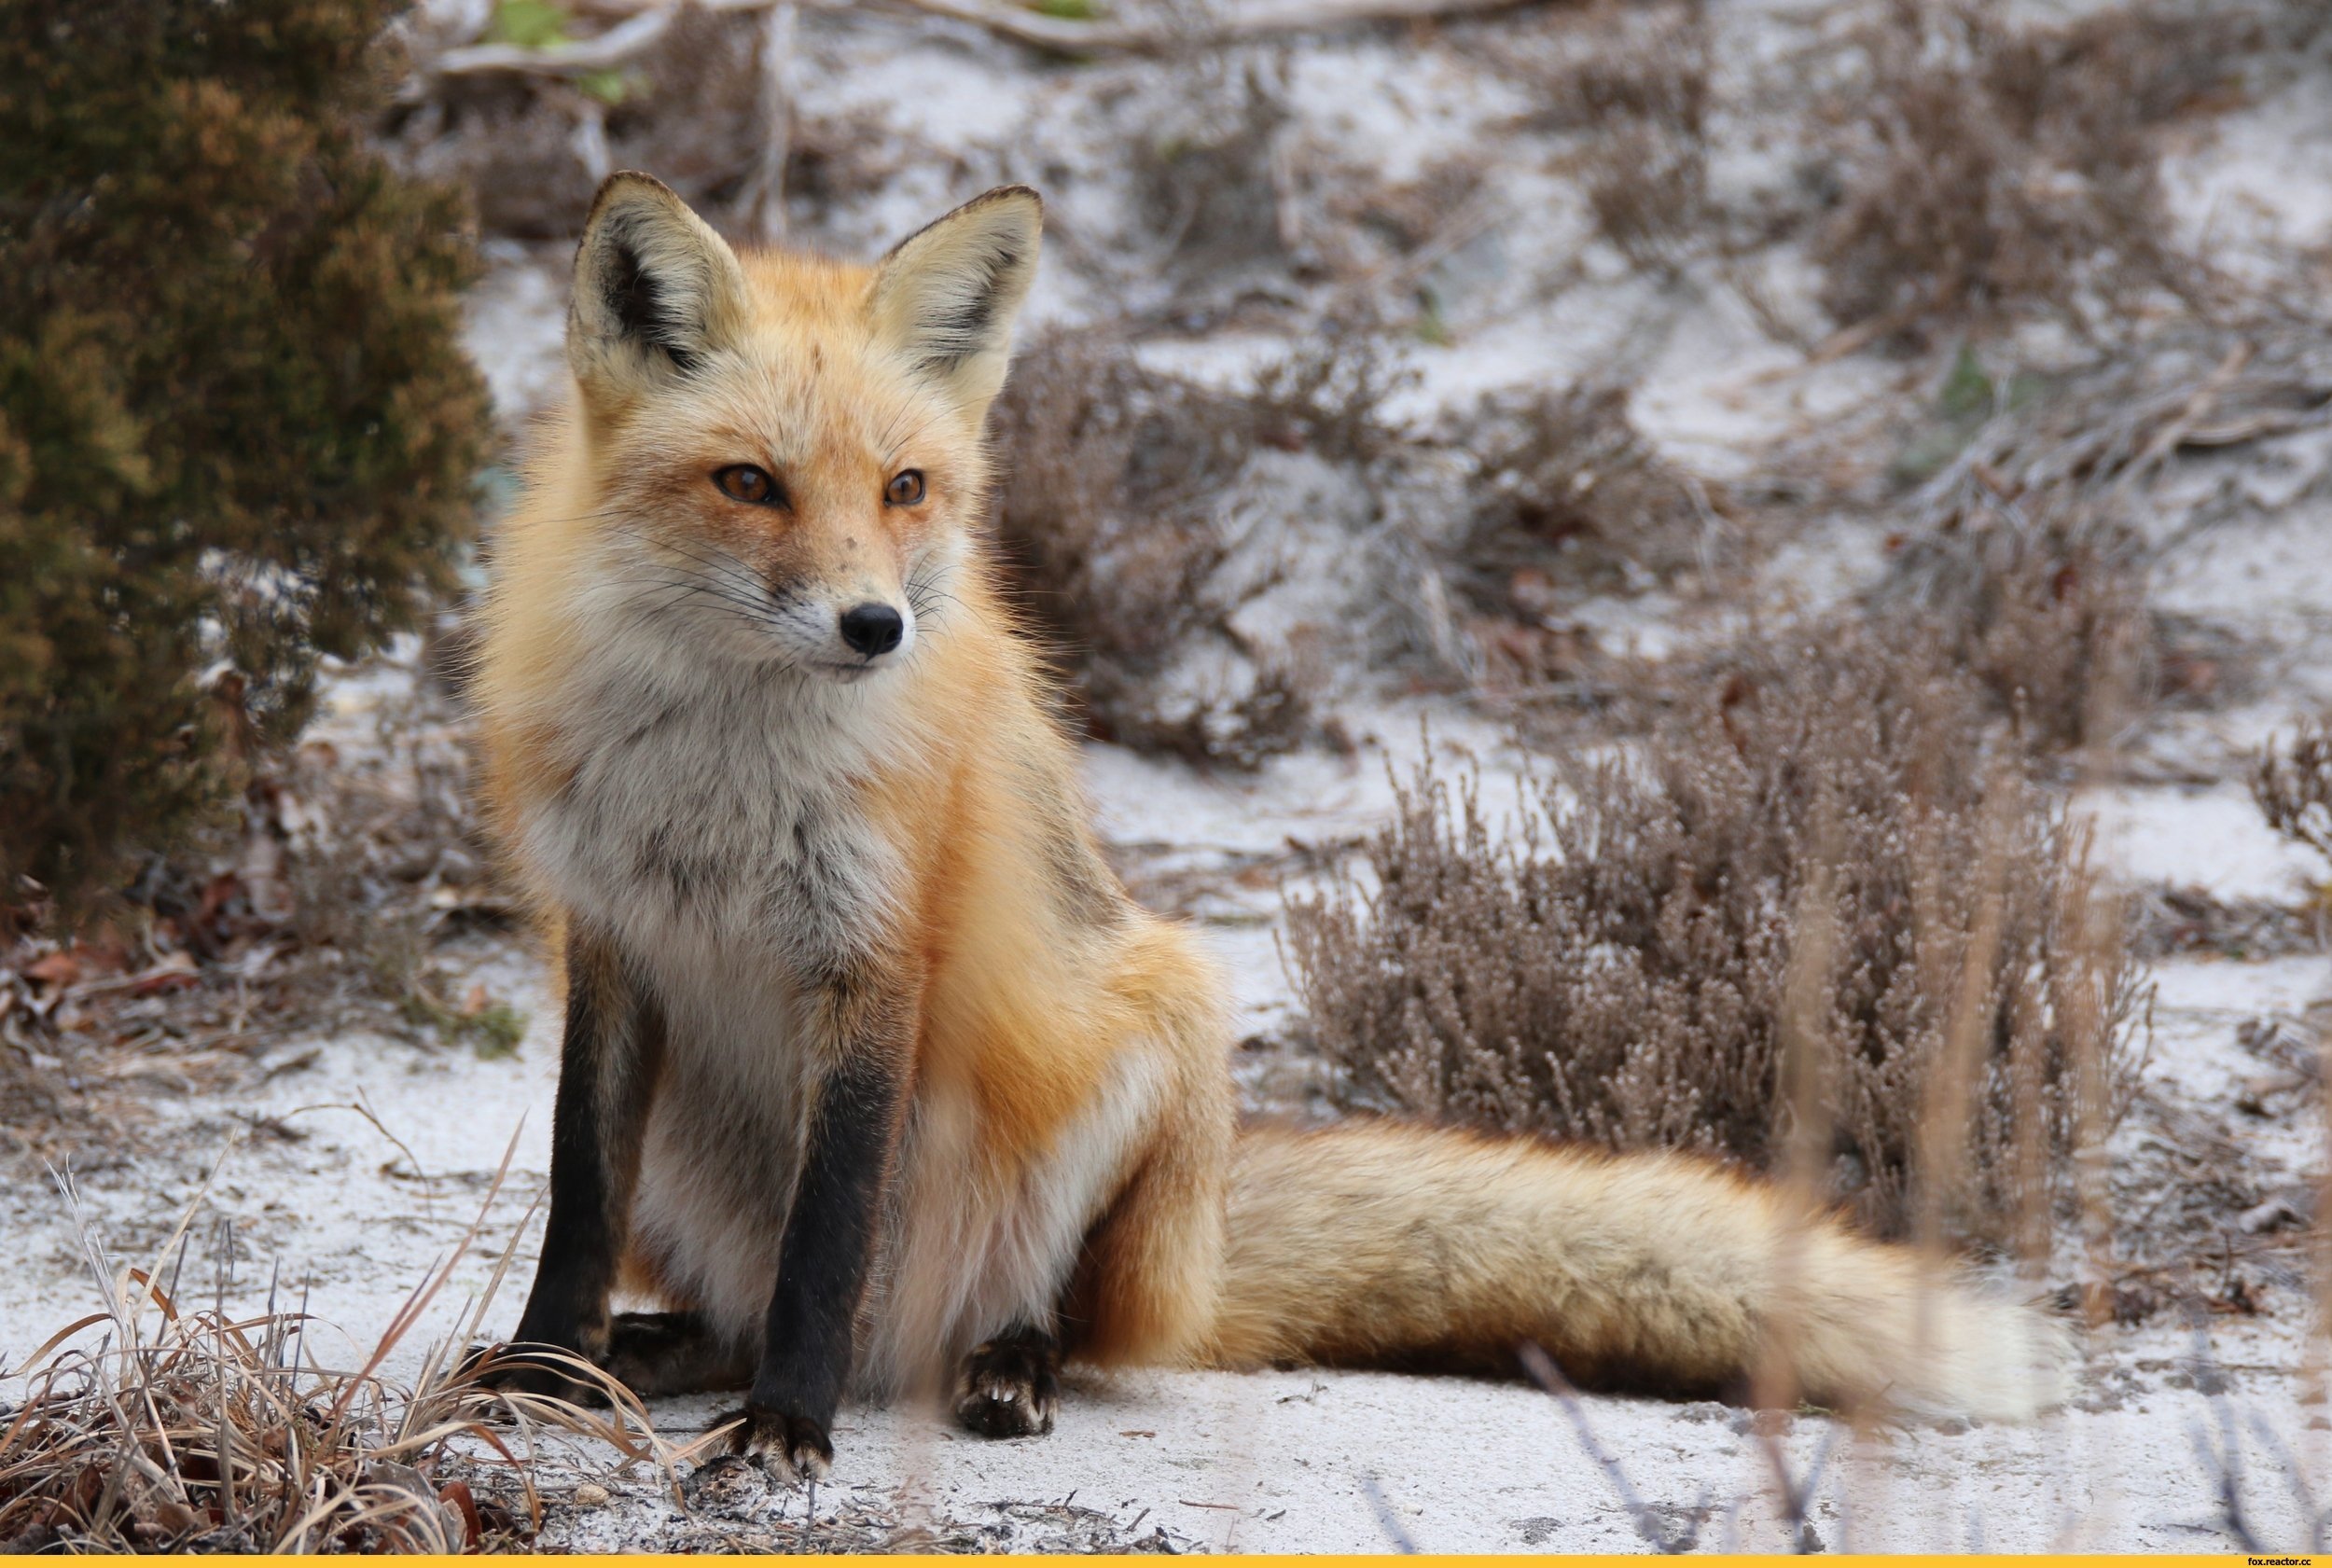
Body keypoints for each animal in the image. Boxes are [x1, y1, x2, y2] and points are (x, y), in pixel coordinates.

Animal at [468, 174, 2061, 1483]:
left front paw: (790, 1432)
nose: (876, 627)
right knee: (730, 1299)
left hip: (1158, 1024)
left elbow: (825, 1234)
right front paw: (547, 1366)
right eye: (751, 483)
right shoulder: (612, 943)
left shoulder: (877, 959)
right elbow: (577, 1192)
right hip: (702, 1162)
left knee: (1029, 1319)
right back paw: (654, 1349)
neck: (720, 777)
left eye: (905, 488)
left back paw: (991, 1367)